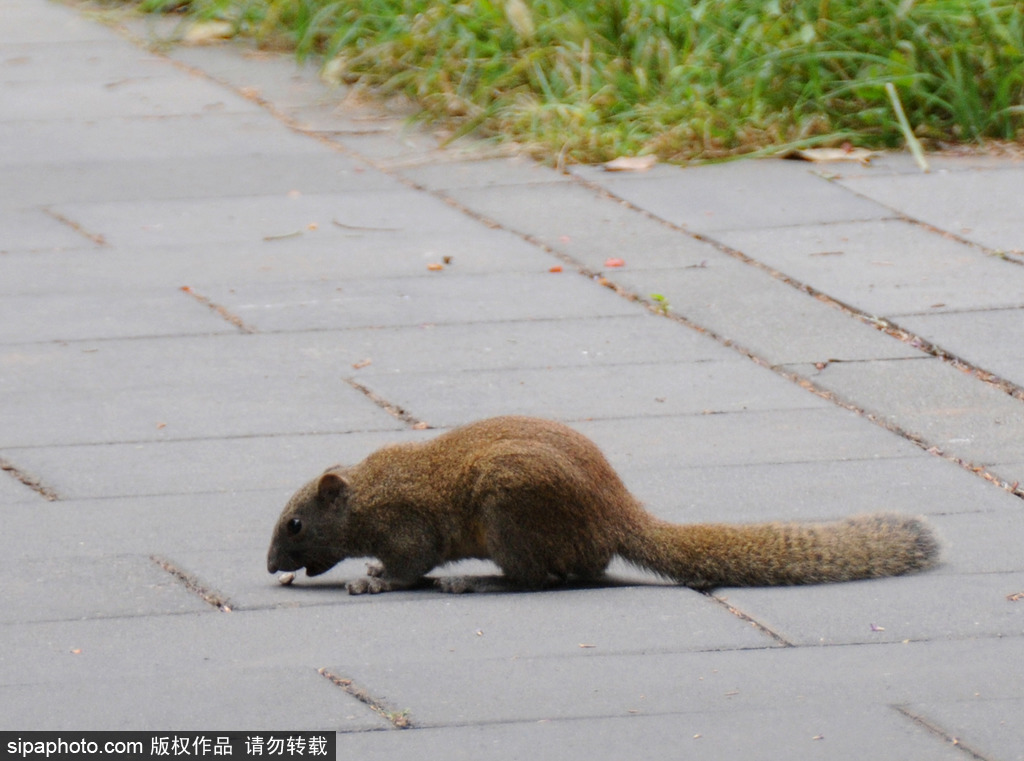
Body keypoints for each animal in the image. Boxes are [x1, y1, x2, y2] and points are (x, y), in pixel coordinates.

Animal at [268, 415, 937, 594]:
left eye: (295, 523)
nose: (272, 566)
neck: (366, 495)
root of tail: (615, 515)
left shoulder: (406, 525)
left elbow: (411, 565)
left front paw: (375, 580)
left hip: (511, 508)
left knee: (538, 577)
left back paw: (479, 582)